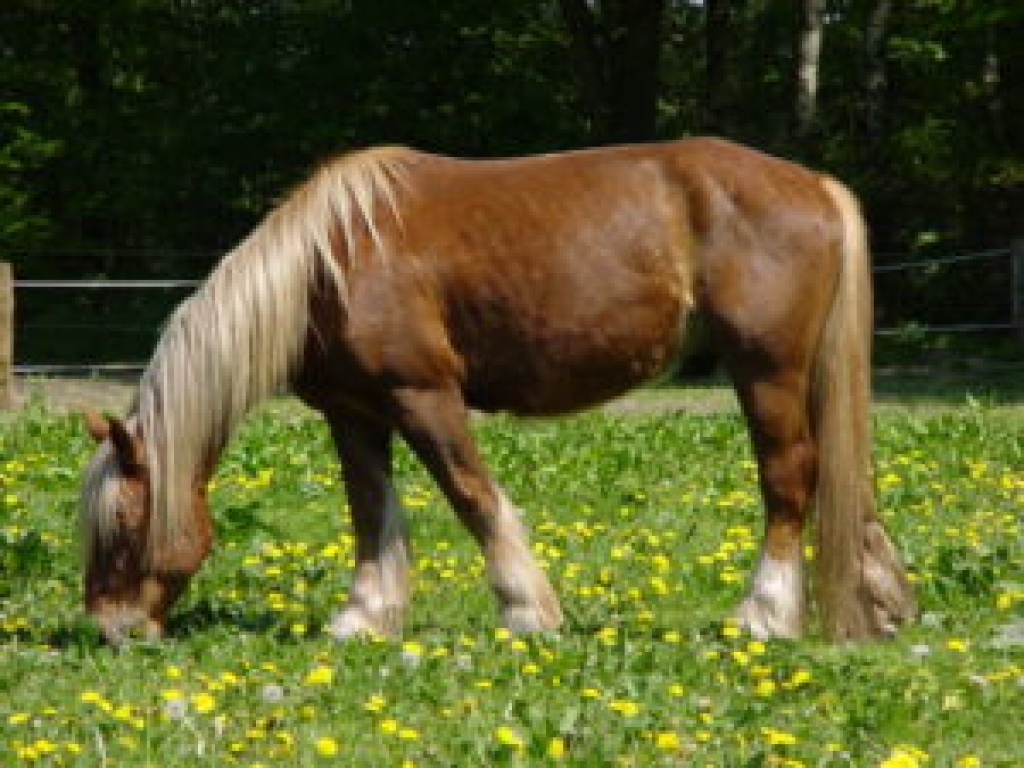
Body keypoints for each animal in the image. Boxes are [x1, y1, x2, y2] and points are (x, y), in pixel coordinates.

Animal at [80, 137, 916, 646]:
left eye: (122, 524)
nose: (110, 629)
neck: (329, 263)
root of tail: (814, 184)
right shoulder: (353, 413)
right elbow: (370, 514)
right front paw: (365, 617)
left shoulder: (423, 395)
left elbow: (471, 494)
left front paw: (526, 610)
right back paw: (881, 603)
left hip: (766, 372)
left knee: (789, 478)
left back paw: (763, 614)